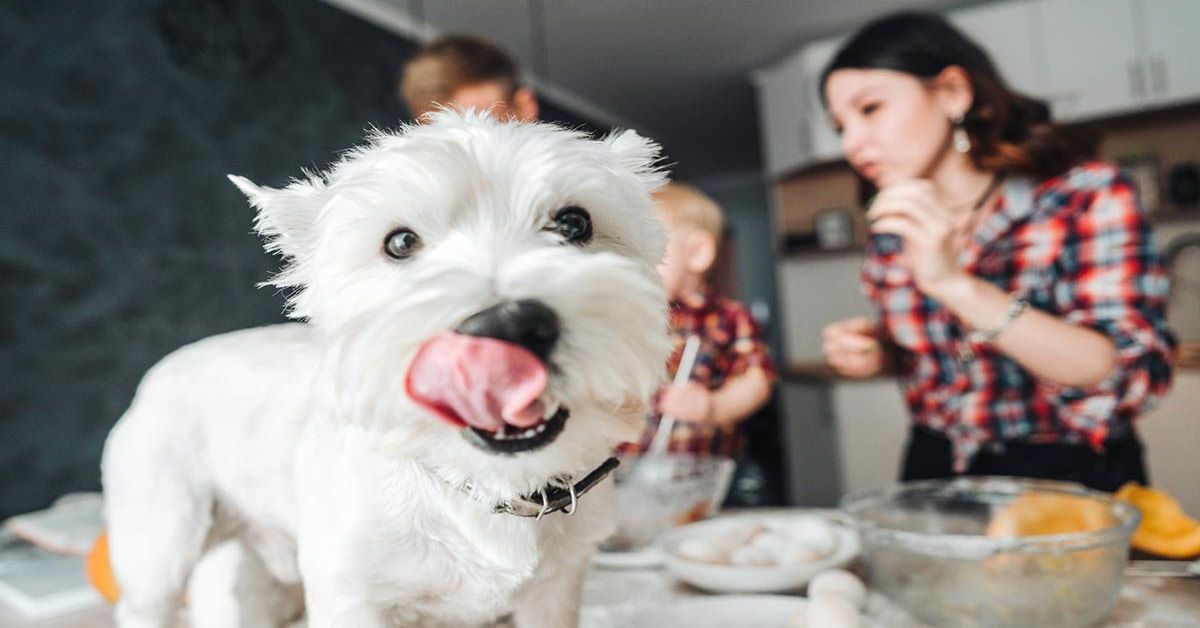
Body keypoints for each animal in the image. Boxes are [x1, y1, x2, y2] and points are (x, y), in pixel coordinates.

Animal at [98, 110, 672, 624]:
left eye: (575, 222)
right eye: (399, 243)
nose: (507, 325)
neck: (485, 485)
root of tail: (159, 371)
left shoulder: (556, 589)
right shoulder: (352, 594)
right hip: (160, 543)